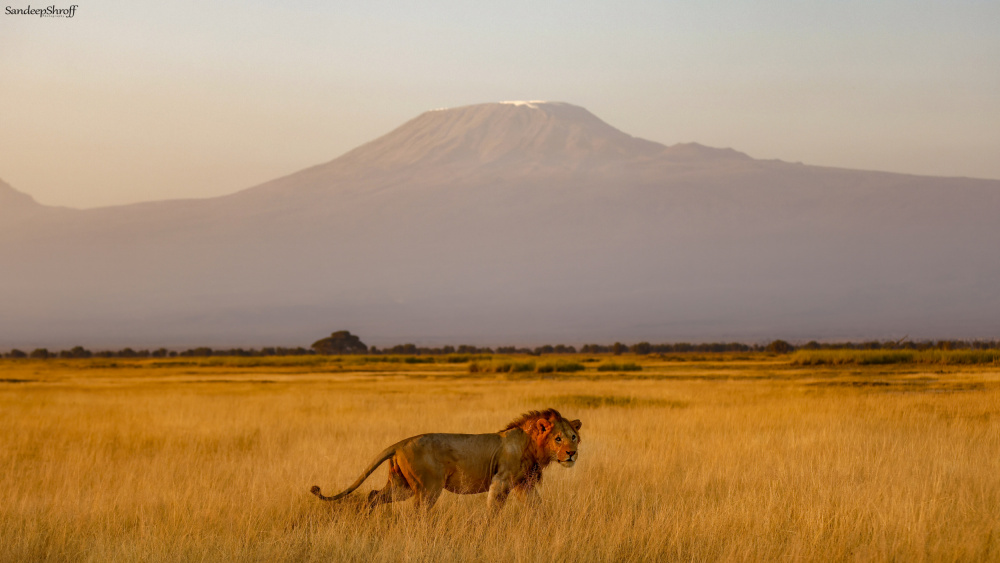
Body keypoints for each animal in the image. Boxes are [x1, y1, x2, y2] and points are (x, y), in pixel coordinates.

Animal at [308, 408, 584, 512]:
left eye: (573, 437)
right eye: (558, 439)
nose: (572, 453)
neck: (532, 445)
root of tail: (400, 443)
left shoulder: (524, 484)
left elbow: (538, 508)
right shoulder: (501, 480)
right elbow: (493, 509)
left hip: (401, 486)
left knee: (374, 495)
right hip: (428, 488)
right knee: (416, 512)